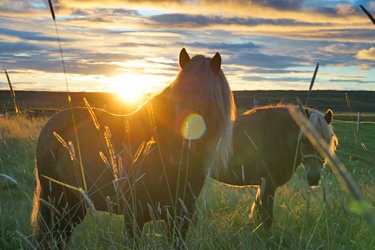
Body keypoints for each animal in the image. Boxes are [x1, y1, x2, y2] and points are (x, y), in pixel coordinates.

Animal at [31, 48, 235, 248]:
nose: (178, 154)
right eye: (177, 100)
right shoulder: (134, 215)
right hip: (56, 199)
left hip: (74, 203)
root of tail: (52, 124)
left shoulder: (180, 216)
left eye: (209, 103)